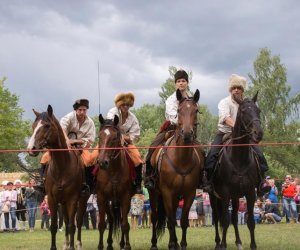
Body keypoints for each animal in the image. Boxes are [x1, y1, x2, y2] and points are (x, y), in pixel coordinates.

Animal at [26, 105, 88, 250]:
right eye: (34, 126)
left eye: (47, 125)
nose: (31, 148)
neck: (62, 166)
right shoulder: (52, 199)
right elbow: (54, 226)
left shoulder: (72, 199)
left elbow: (72, 226)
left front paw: (72, 246)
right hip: (63, 203)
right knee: (66, 219)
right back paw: (66, 244)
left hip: (82, 200)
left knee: (78, 221)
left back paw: (78, 244)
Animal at [96, 114, 133, 250]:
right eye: (99, 136)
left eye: (114, 137)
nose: (102, 162)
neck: (113, 171)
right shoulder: (101, 198)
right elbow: (102, 224)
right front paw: (101, 245)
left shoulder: (125, 198)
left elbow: (125, 224)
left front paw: (127, 245)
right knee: (111, 219)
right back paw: (109, 244)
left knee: (121, 219)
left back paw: (121, 243)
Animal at [149, 90, 205, 250]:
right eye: (179, 110)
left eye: (196, 110)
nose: (187, 134)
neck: (182, 160)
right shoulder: (167, 192)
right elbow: (171, 221)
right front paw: (173, 244)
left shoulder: (190, 193)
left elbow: (183, 220)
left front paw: (182, 244)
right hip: (154, 193)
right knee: (155, 217)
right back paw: (154, 243)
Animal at [211, 93, 262, 250]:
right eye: (244, 111)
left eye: (258, 111)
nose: (258, 133)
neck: (239, 160)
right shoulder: (225, 193)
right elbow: (225, 221)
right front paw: (223, 244)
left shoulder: (250, 193)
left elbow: (250, 221)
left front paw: (253, 245)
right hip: (214, 196)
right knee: (217, 218)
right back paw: (217, 242)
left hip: (235, 197)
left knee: (234, 218)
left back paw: (238, 242)